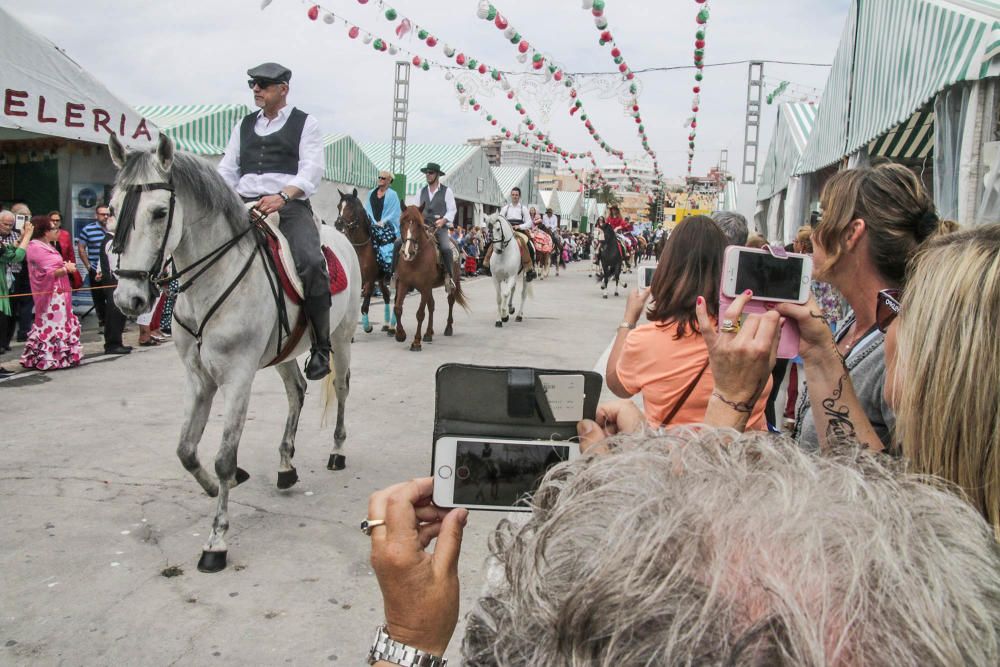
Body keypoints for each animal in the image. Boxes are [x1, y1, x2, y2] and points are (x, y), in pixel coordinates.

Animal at [107, 133, 364, 572]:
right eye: (111, 209)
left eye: (159, 212)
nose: (129, 299)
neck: (211, 278)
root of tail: (341, 239)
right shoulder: (198, 378)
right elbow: (186, 450)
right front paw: (216, 487)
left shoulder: (238, 376)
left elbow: (224, 456)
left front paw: (216, 541)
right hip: (283, 351)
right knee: (296, 391)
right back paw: (285, 465)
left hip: (342, 338)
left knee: (343, 389)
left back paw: (337, 451)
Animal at [334, 188, 392, 334]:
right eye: (339, 206)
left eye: (351, 207)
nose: (338, 224)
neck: (361, 248)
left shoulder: (369, 281)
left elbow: (364, 306)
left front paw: (367, 326)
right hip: (381, 279)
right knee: (387, 295)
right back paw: (386, 324)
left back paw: (393, 327)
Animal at [394, 206, 468, 352]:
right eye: (401, 223)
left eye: (419, 225)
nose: (408, 252)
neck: (415, 260)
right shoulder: (404, 284)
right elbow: (398, 308)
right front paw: (400, 334)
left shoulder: (424, 287)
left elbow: (420, 314)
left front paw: (416, 342)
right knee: (432, 305)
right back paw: (429, 333)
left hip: (452, 282)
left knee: (450, 301)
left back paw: (448, 328)